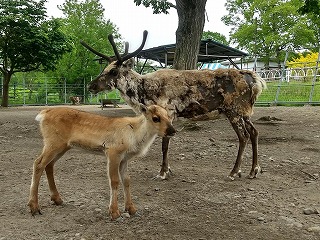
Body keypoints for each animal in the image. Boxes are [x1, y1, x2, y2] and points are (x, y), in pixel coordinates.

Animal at [27, 104, 176, 219]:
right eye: (155, 118)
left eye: (170, 117)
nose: (173, 131)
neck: (135, 134)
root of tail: (43, 114)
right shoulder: (113, 153)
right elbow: (114, 181)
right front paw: (114, 212)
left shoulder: (124, 158)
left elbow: (126, 180)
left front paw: (131, 208)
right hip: (53, 143)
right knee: (38, 163)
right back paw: (34, 206)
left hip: (63, 146)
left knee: (49, 165)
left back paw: (57, 199)